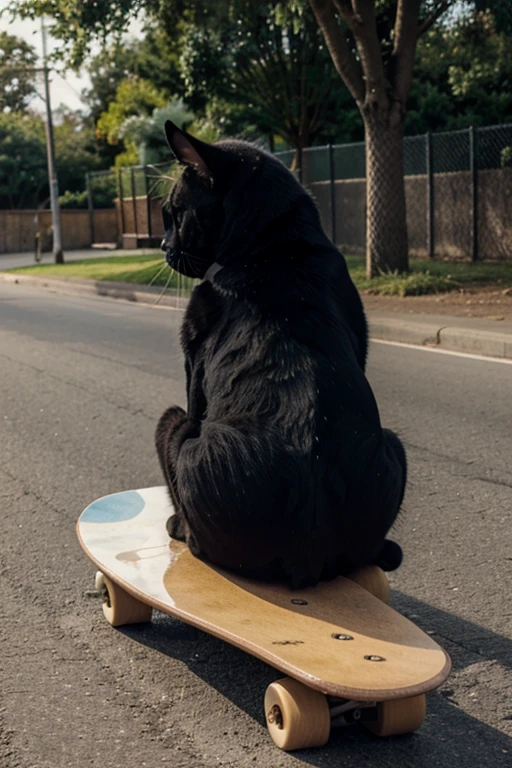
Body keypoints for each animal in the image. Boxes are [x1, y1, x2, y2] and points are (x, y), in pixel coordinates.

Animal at [154, 120, 406, 588]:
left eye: (175, 212)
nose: (163, 246)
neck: (277, 244)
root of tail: (308, 547)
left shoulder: (192, 365)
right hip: (393, 446)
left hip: (173, 422)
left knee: (191, 530)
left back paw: (177, 526)